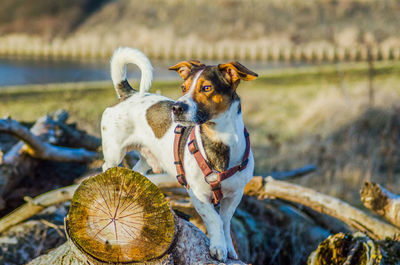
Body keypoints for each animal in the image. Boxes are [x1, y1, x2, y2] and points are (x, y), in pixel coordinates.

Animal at [101, 46, 258, 260]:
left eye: (206, 88)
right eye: (183, 88)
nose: (176, 107)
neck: (220, 140)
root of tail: (129, 94)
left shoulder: (235, 195)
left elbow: (225, 222)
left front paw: (229, 248)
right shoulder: (197, 193)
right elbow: (214, 219)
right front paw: (218, 247)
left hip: (148, 158)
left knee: (136, 172)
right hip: (114, 153)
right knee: (106, 169)